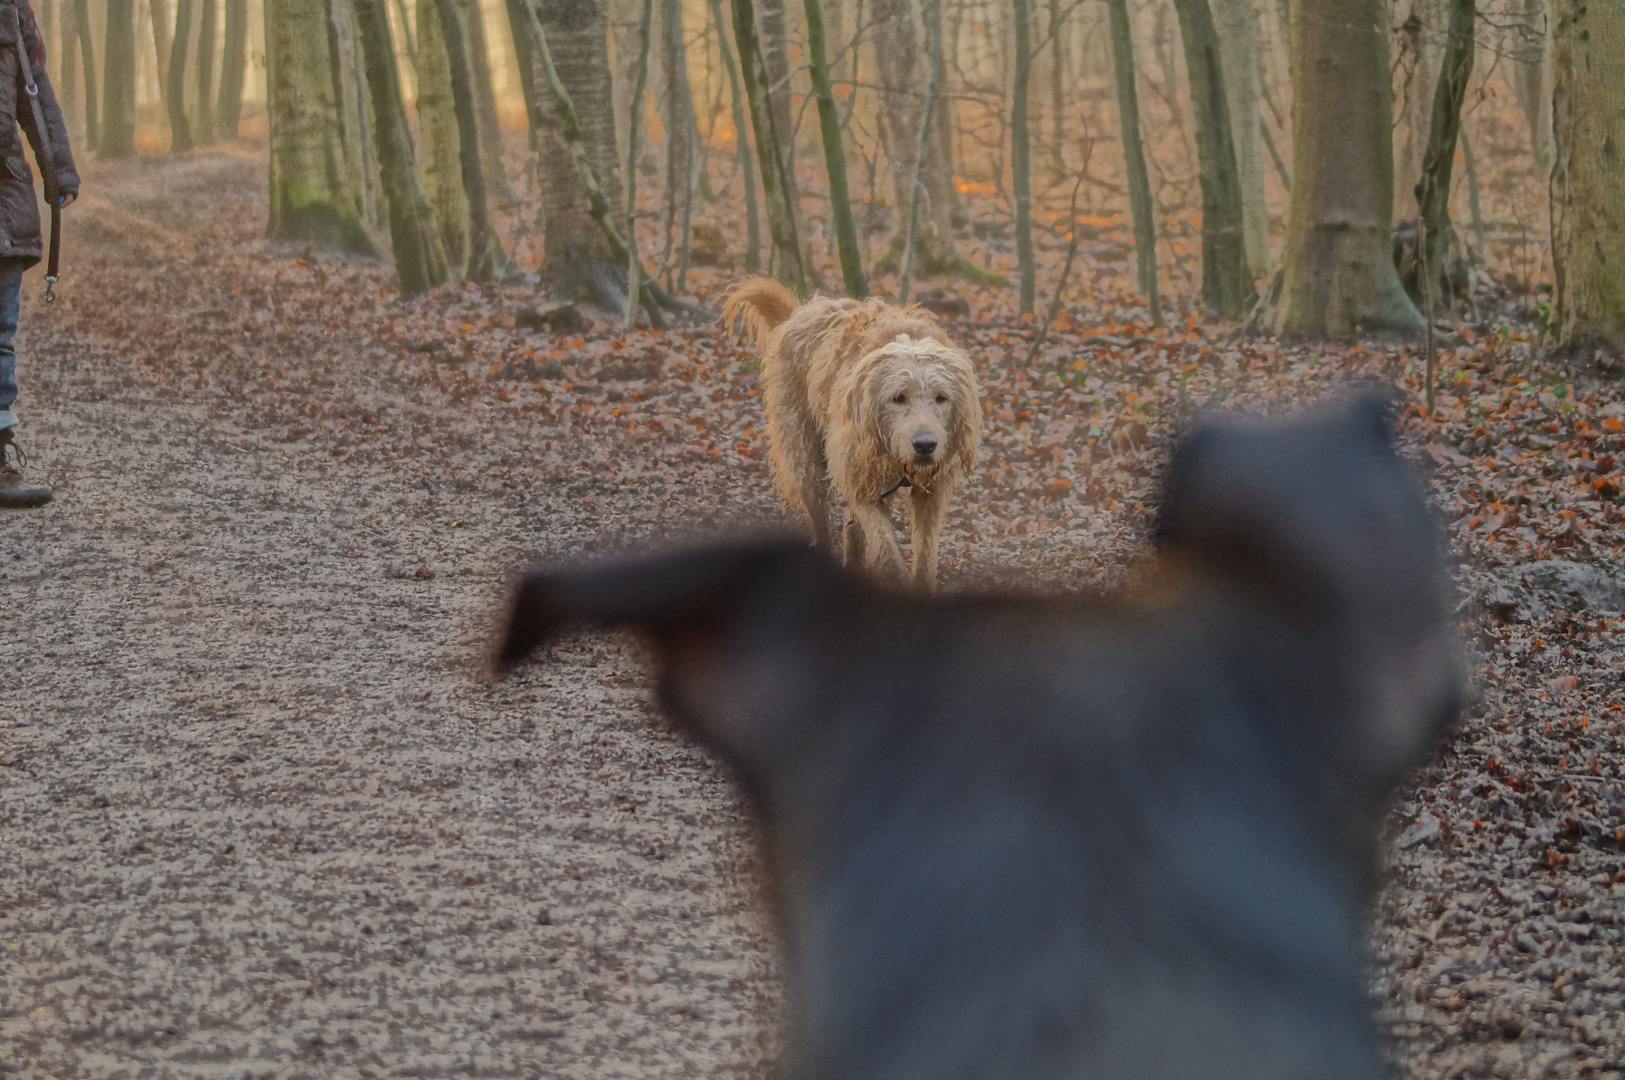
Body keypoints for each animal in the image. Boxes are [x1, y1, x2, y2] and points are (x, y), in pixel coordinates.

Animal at [721, 274, 975, 584]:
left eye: (941, 397)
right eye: (898, 397)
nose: (925, 445)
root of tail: (799, 314)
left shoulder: (931, 493)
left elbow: (925, 558)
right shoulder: (861, 483)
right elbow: (887, 554)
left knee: (852, 529)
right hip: (804, 456)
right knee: (819, 514)